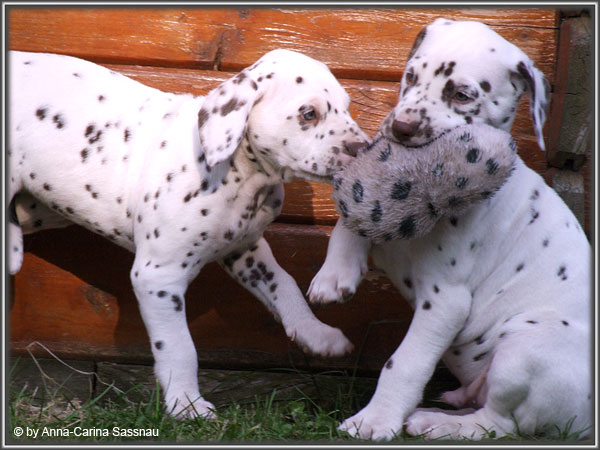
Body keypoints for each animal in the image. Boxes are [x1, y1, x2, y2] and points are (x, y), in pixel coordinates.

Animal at [8, 48, 370, 418]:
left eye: (347, 107)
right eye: (308, 113)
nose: (362, 149)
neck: (240, 174)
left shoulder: (245, 249)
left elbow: (284, 285)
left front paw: (317, 333)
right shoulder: (158, 276)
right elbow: (180, 347)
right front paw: (187, 404)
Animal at [308, 18, 592, 440]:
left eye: (461, 95)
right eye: (410, 76)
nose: (401, 127)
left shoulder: (445, 301)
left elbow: (404, 364)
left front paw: (374, 421)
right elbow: (353, 214)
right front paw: (334, 275)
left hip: (525, 347)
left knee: (499, 425)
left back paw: (435, 423)